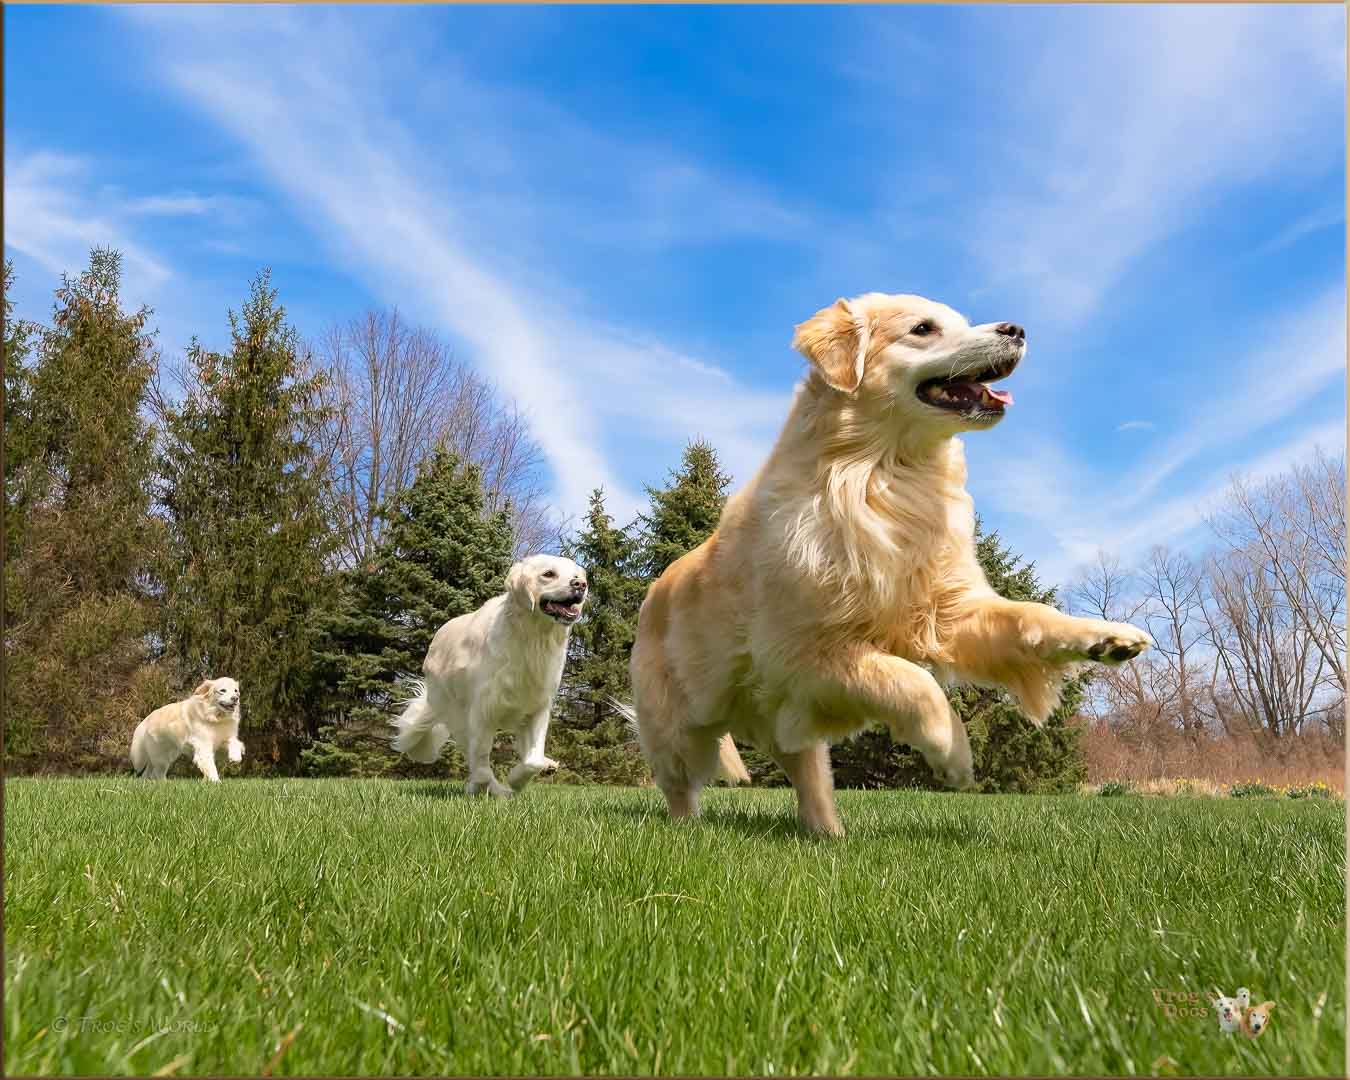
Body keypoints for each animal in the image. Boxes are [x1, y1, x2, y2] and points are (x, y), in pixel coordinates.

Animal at [388, 556, 583, 793]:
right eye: (548, 574)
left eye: (577, 575)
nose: (581, 585)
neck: (531, 638)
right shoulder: (480, 713)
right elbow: (481, 764)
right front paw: (497, 787)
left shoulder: (537, 708)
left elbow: (533, 759)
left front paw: (518, 778)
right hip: (456, 714)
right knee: (473, 756)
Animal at [631, 292, 1150, 837]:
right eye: (924, 329)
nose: (1017, 329)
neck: (882, 477)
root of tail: (653, 592)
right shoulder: (802, 655)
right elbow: (914, 682)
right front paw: (953, 753)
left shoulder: (949, 608)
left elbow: (1030, 616)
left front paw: (1108, 637)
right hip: (680, 726)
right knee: (680, 785)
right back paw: (688, 828)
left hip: (785, 727)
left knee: (807, 778)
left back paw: (828, 833)